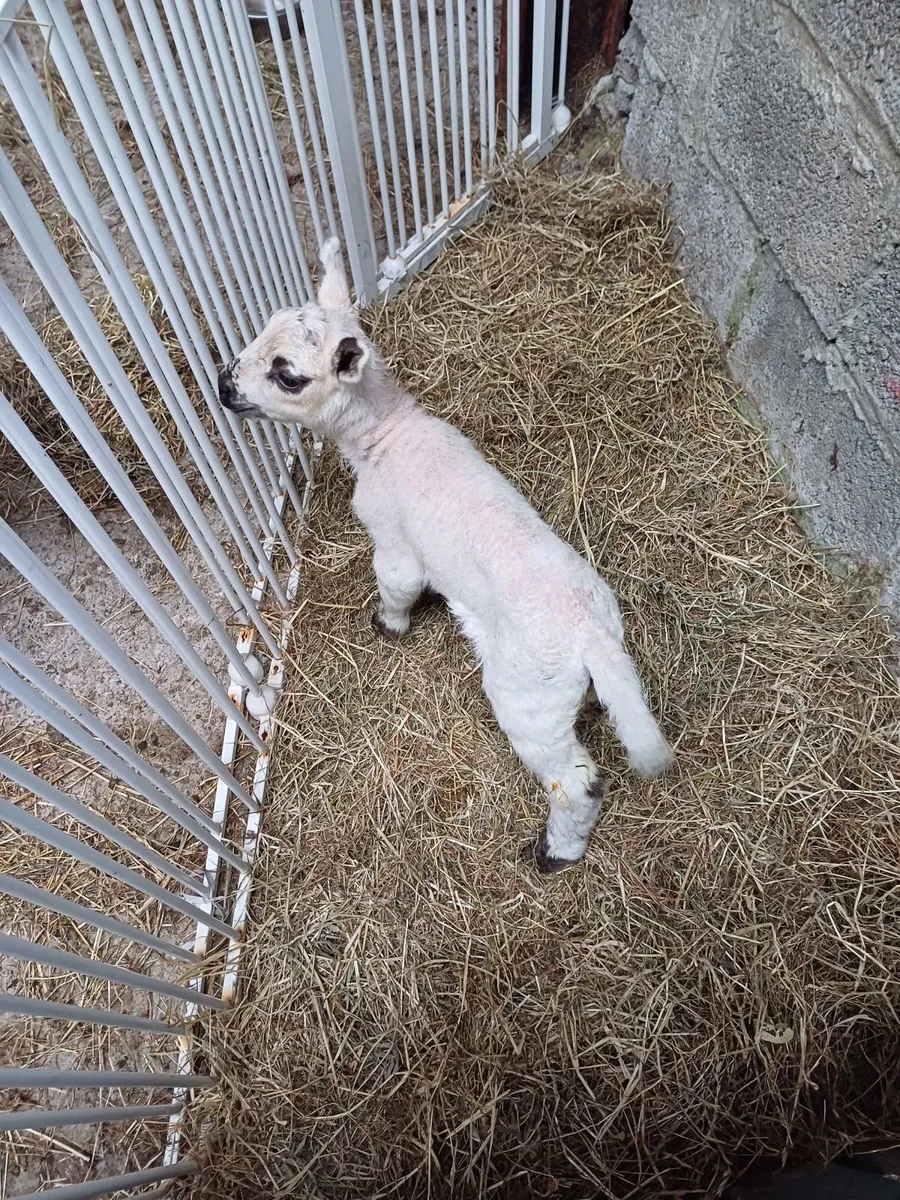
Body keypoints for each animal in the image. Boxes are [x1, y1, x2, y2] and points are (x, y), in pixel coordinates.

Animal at [218, 238, 674, 871]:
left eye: (287, 375)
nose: (222, 384)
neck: (385, 436)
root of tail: (591, 635)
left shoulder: (394, 541)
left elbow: (397, 586)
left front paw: (388, 627)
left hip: (528, 695)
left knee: (575, 781)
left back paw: (555, 852)